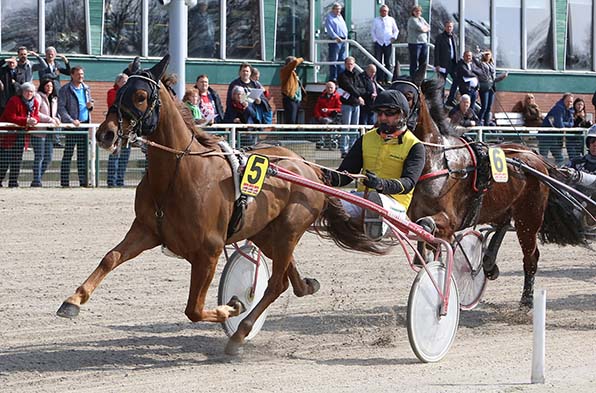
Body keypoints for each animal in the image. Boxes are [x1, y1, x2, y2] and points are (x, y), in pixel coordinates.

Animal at [57, 54, 382, 352]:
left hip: (290, 228)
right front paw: (73, 301)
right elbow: (110, 257)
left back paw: (240, 333)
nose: (105, 133)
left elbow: (193, 309)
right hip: (266, 233)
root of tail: (309, 167)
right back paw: (304, 287)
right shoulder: (147, 230)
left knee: (275, 284)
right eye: (118, 90)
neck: (178, 173)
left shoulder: (208, 252)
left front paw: (233, 307)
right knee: (287, 279)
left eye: (140, 96)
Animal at [408, 79, 584, 306]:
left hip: (529, 218)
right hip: (503, 207)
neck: (440, 160)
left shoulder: (450, 221)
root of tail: (534, 156)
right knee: (503, 225)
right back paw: (489, 263)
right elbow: (424, 233)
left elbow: (429, 227)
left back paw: (527, 299)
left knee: (531, 256)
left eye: (409, 96)